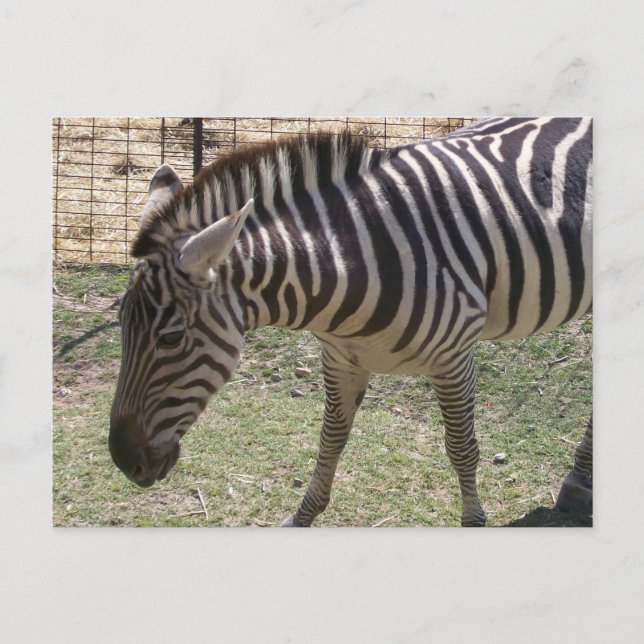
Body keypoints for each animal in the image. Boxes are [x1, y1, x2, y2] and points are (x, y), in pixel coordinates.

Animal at [109, 117, 592, 526]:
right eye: (121, 325)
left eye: (171, 338)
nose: (123, 460)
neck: (352, 263)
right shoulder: (341, 358)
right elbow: (331, 438)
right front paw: (303, 516)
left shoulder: (454, 358)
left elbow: (461, 447)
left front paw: (473, 521)